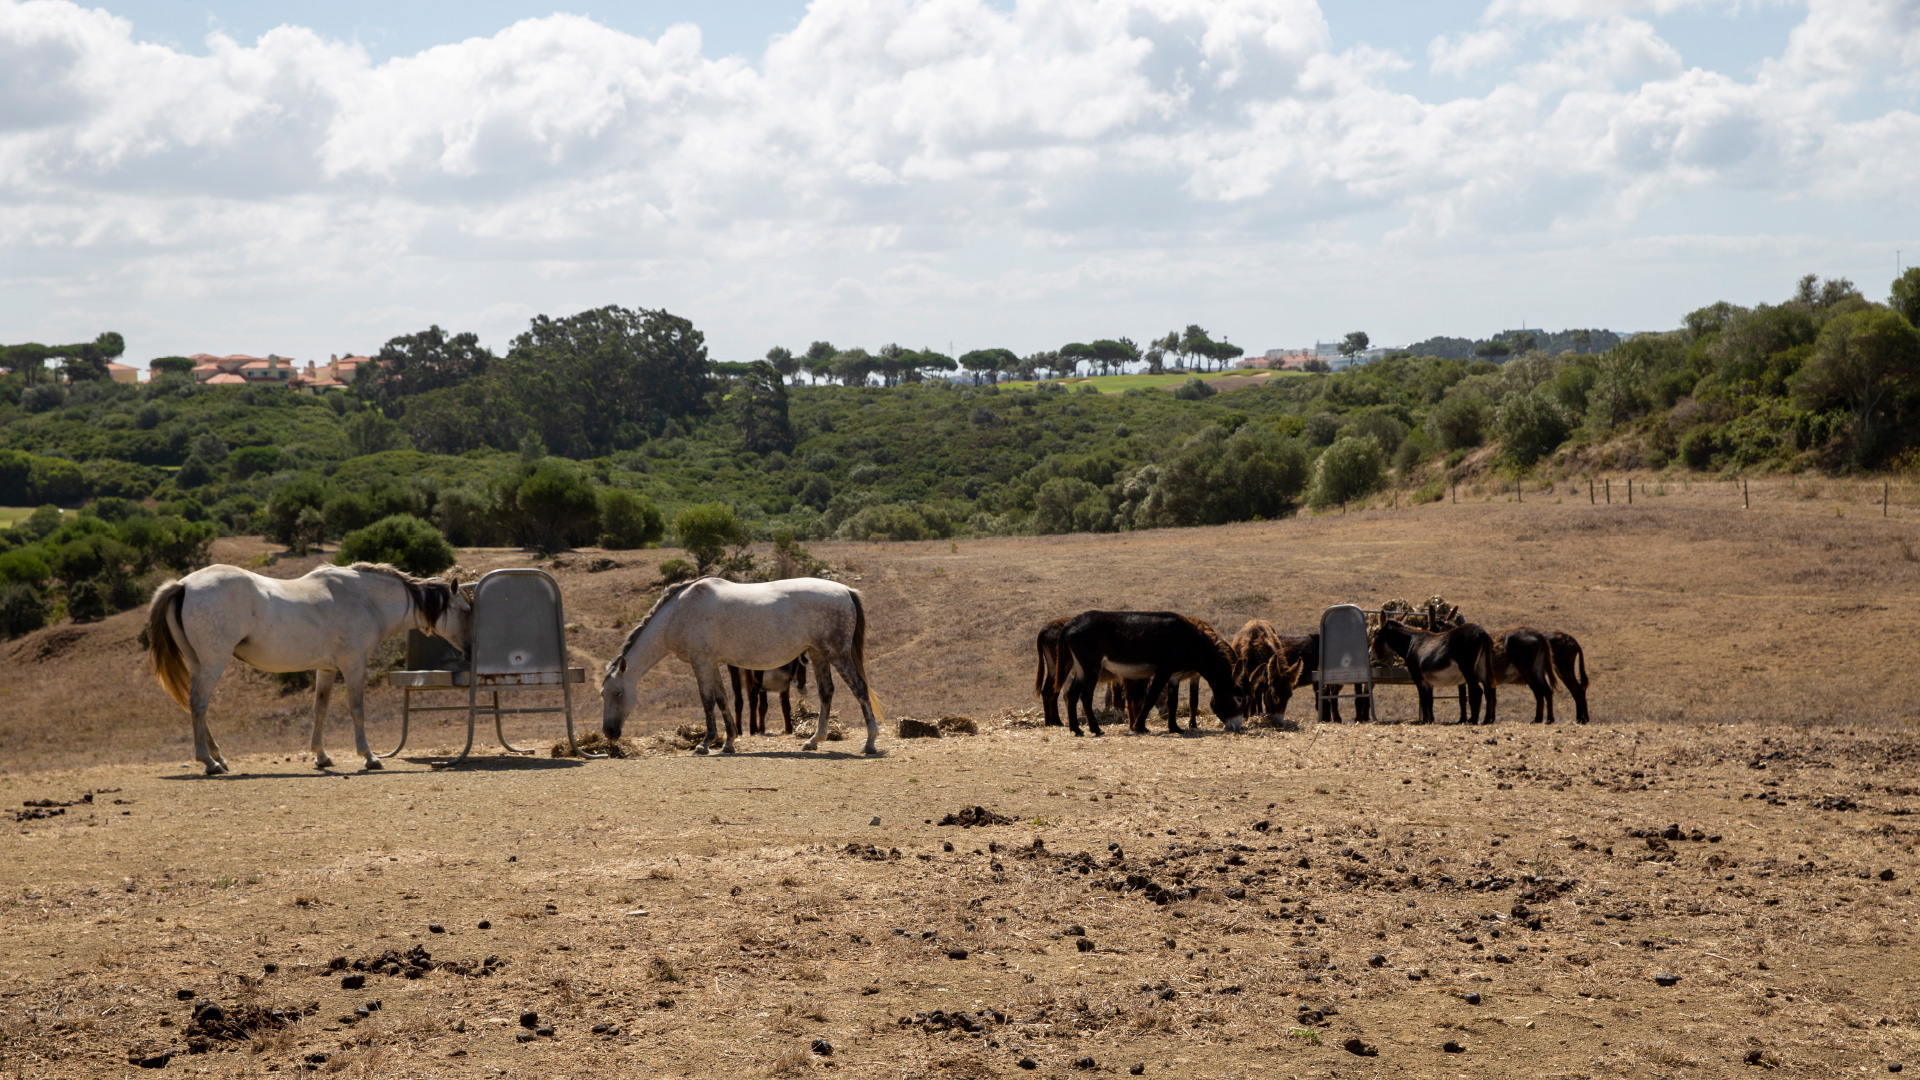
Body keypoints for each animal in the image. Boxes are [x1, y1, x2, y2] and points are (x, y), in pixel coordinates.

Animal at [144, 557, 468, 768]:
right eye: (466, 609)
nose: (469, 650)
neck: (365, 598)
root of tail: (183, 585)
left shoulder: (326, 669)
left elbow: (319, 710)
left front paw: (321, 756)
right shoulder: (353, 666)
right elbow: (357, 710)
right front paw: (369, 756)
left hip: (198, 664)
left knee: (197, 707)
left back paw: (219, 758)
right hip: (214, 663)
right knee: (199, 705)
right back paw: (208, 762)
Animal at [602, 576, 887, 753]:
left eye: (618, 693)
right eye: (603, 694)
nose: (609, 731)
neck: (681, 611)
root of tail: (846, 591)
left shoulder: (700, 662)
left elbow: (707, 701)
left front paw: (705, 744)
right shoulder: (713, 663)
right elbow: (722, 700)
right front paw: (728, 742)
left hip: (837, 654)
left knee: (860, 689)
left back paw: (870, 743)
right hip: (818, 655)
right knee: (826, 693)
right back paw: (813, 740)